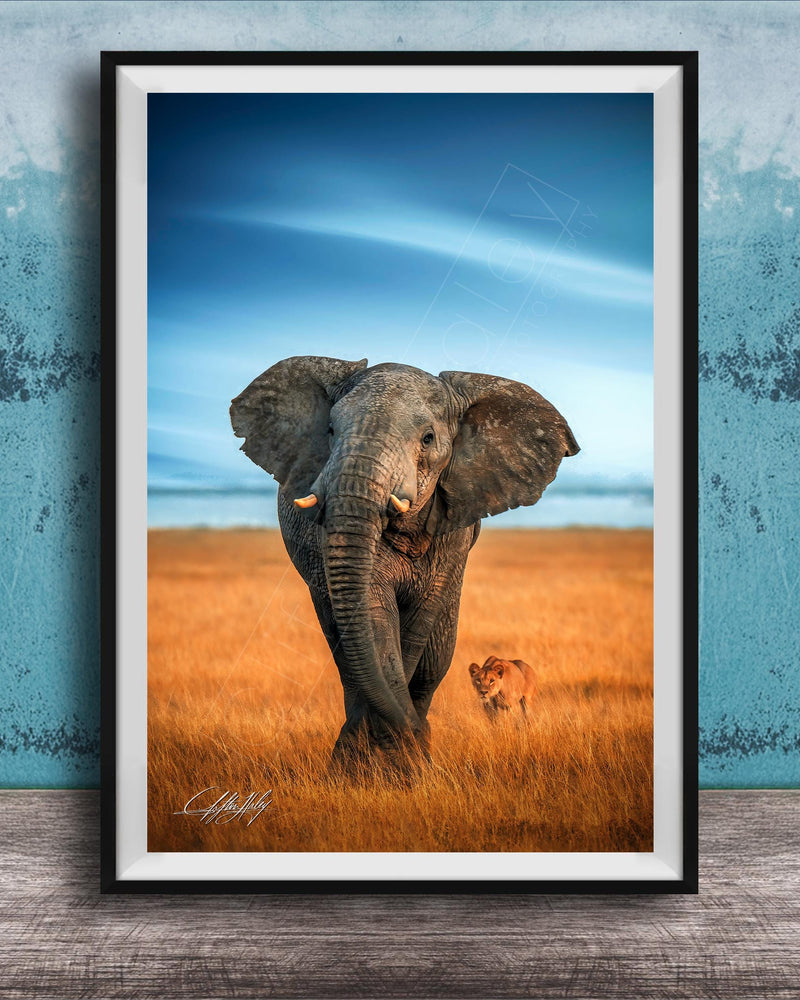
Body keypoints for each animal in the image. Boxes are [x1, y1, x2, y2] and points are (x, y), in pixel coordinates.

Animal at [230, 356, 579, 770]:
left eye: (427, 438)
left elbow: (416, 628)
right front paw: (379, 761)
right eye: (330, 430)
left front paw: (403, 760)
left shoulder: (453, 533)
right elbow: (376, 620)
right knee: (343, 652)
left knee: (434, 662)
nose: (414, 735)